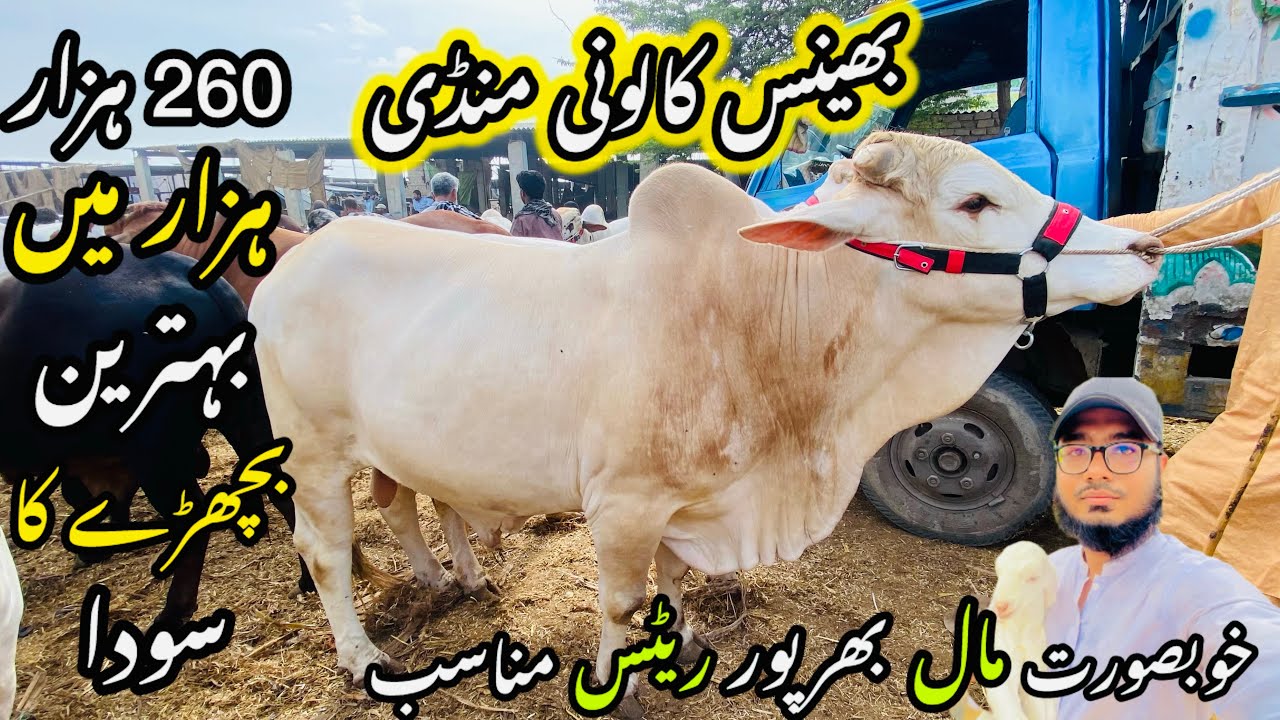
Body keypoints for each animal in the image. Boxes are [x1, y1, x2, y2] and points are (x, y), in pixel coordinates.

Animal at [247, 131, 1162, 714]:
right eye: (974, 201)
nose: (1143, 248)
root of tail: (291, 264)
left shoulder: (682, 500)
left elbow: (676, 578)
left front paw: (684, 641)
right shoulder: (622, 502)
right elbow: (623, 600)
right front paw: (617, 688)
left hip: (400, 446)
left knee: (410, 503)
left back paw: (455, 579)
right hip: (314, 453)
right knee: (326, 552)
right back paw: (363, 654)